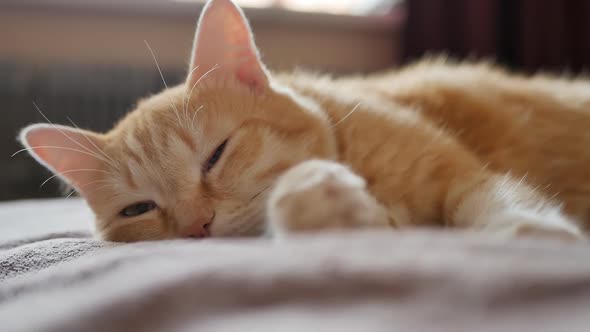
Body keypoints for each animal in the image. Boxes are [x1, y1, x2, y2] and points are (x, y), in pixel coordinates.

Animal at [19, 0, 590, 241]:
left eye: (216, 156)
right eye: (138, 209)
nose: (196, 228)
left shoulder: (465, 176)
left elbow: (497, 202)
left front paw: (531, 234)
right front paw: (328, 202)